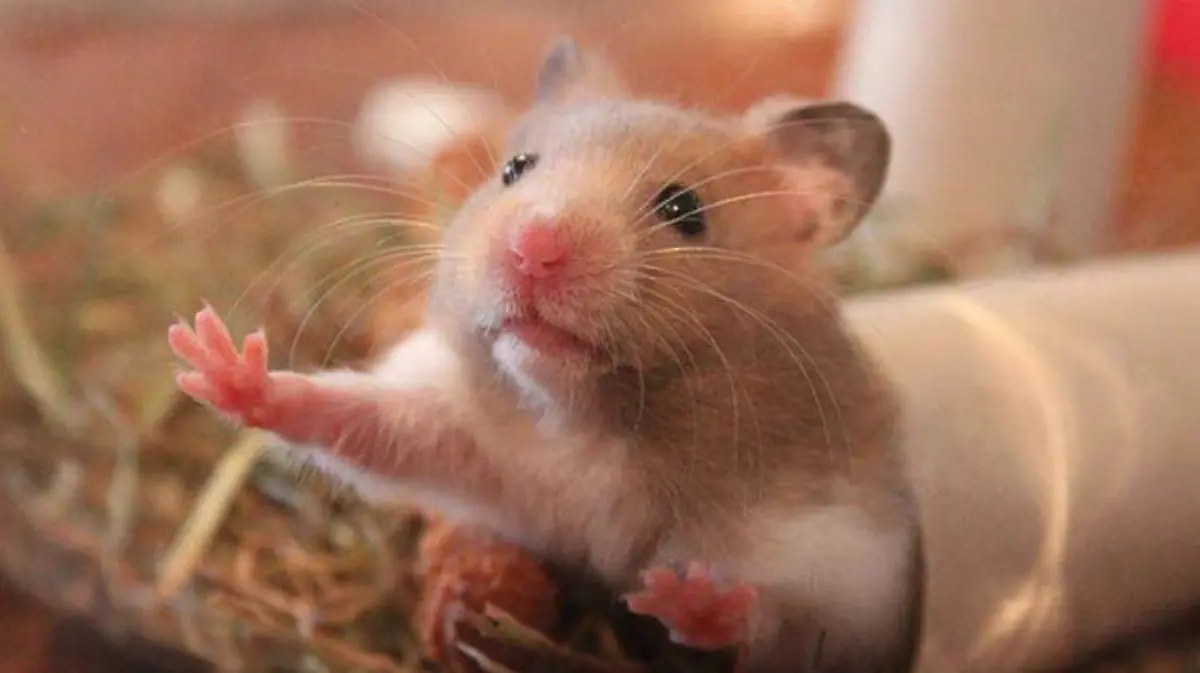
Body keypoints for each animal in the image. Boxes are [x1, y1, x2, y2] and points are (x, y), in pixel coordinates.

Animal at [167, 37, 923, 673]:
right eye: (514, 169)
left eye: (684, 209)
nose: (533, 245)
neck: (583, 419)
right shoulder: (463, 433)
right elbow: (354, 417)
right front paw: (217, 362)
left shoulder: (842, 560)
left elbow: (775, 613)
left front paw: (682, 595)